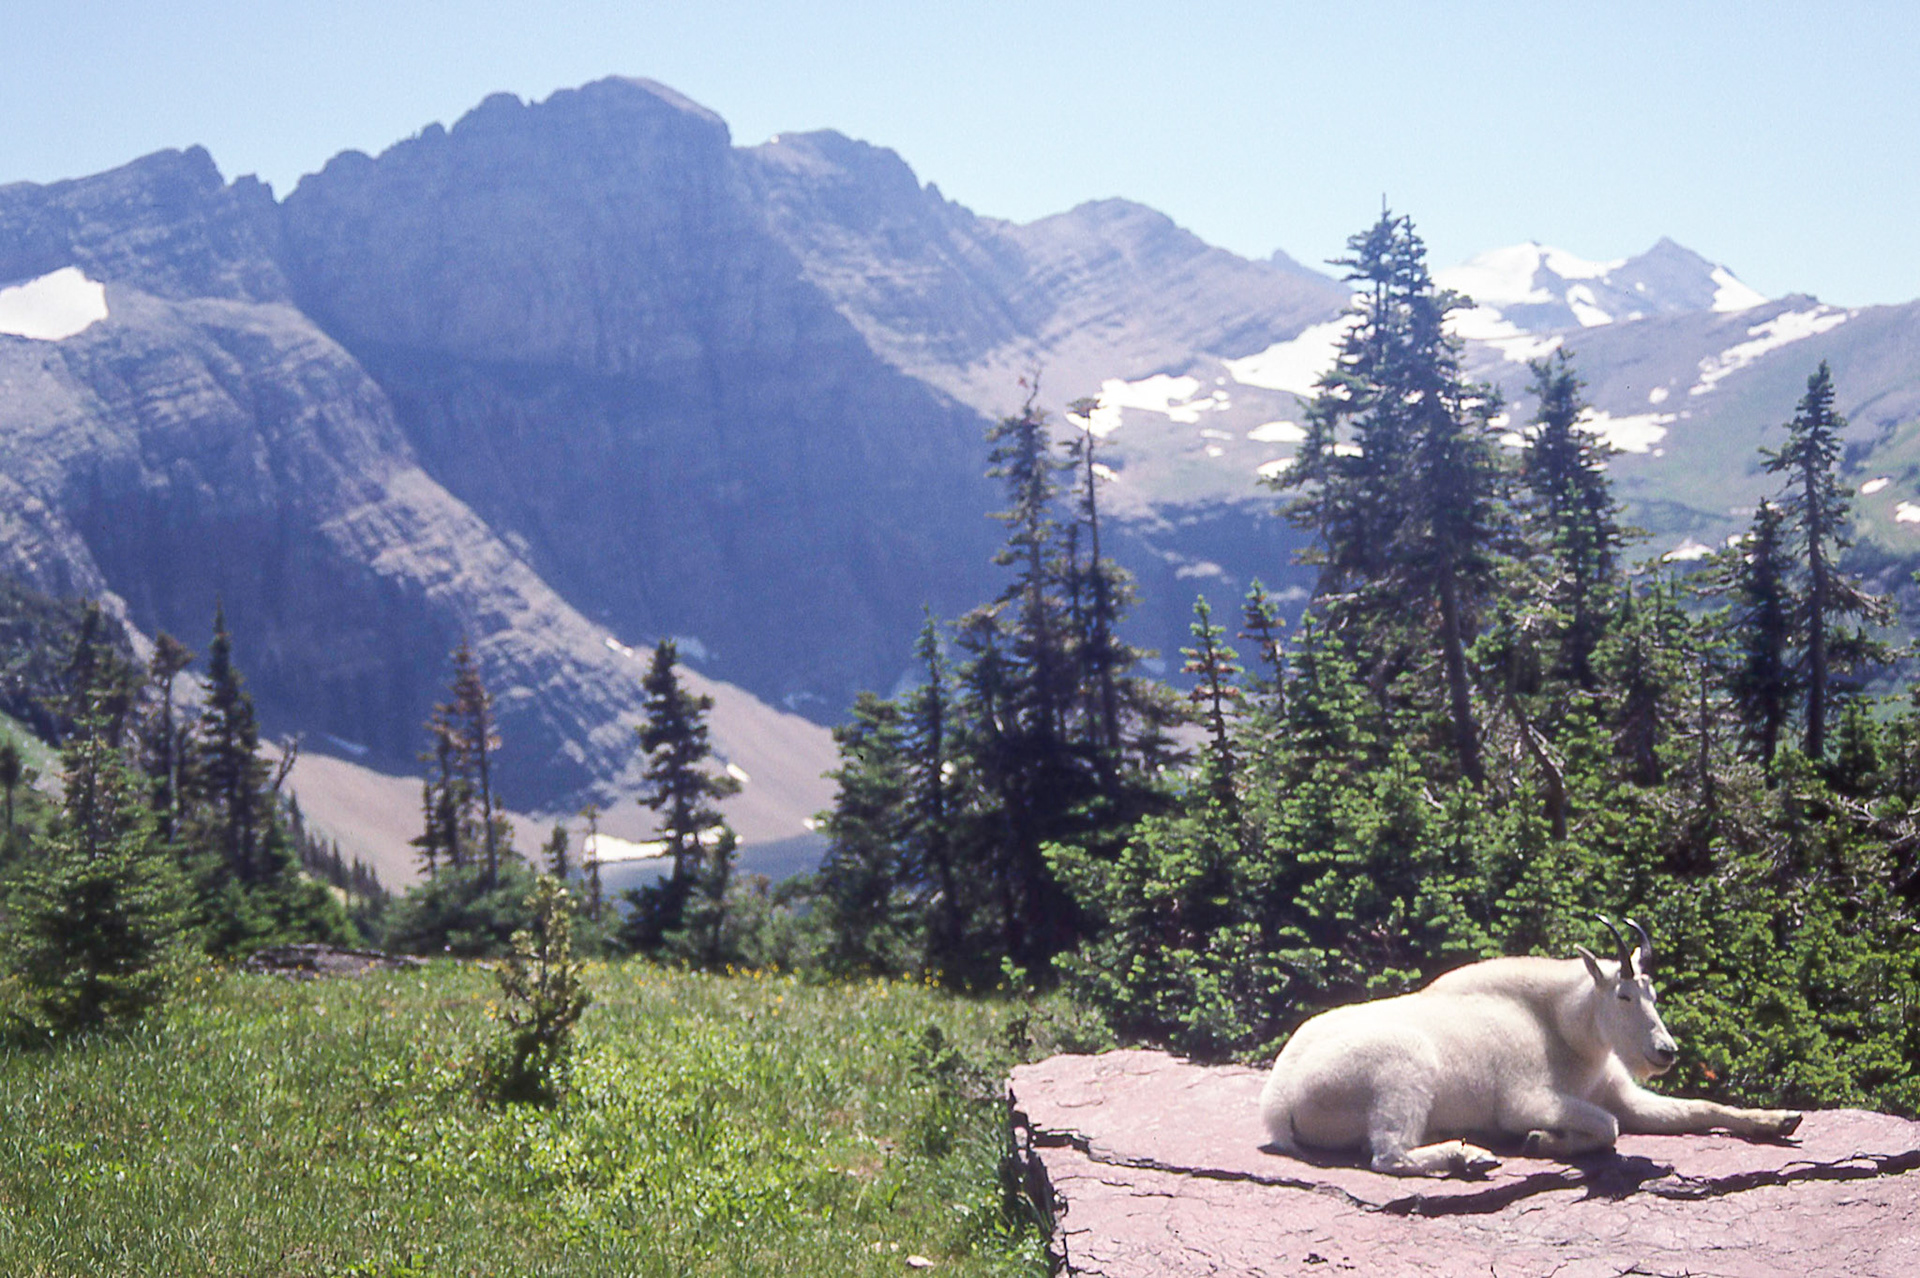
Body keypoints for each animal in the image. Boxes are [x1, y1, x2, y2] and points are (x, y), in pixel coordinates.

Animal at [1258, 918, 1803, 1177]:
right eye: (1624, 995)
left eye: (1654, 994)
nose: (1665, 1052)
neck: (1566, 1029)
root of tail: (1277, 1104)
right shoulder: (1524, 1101)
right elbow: (1609, 1127)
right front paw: (1542, 1140)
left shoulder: (1622, 1094)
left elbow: (1699, 1108)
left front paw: (1780, 1120)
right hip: (1401, 1070)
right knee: (1388, 1154)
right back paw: (1469, 1158)